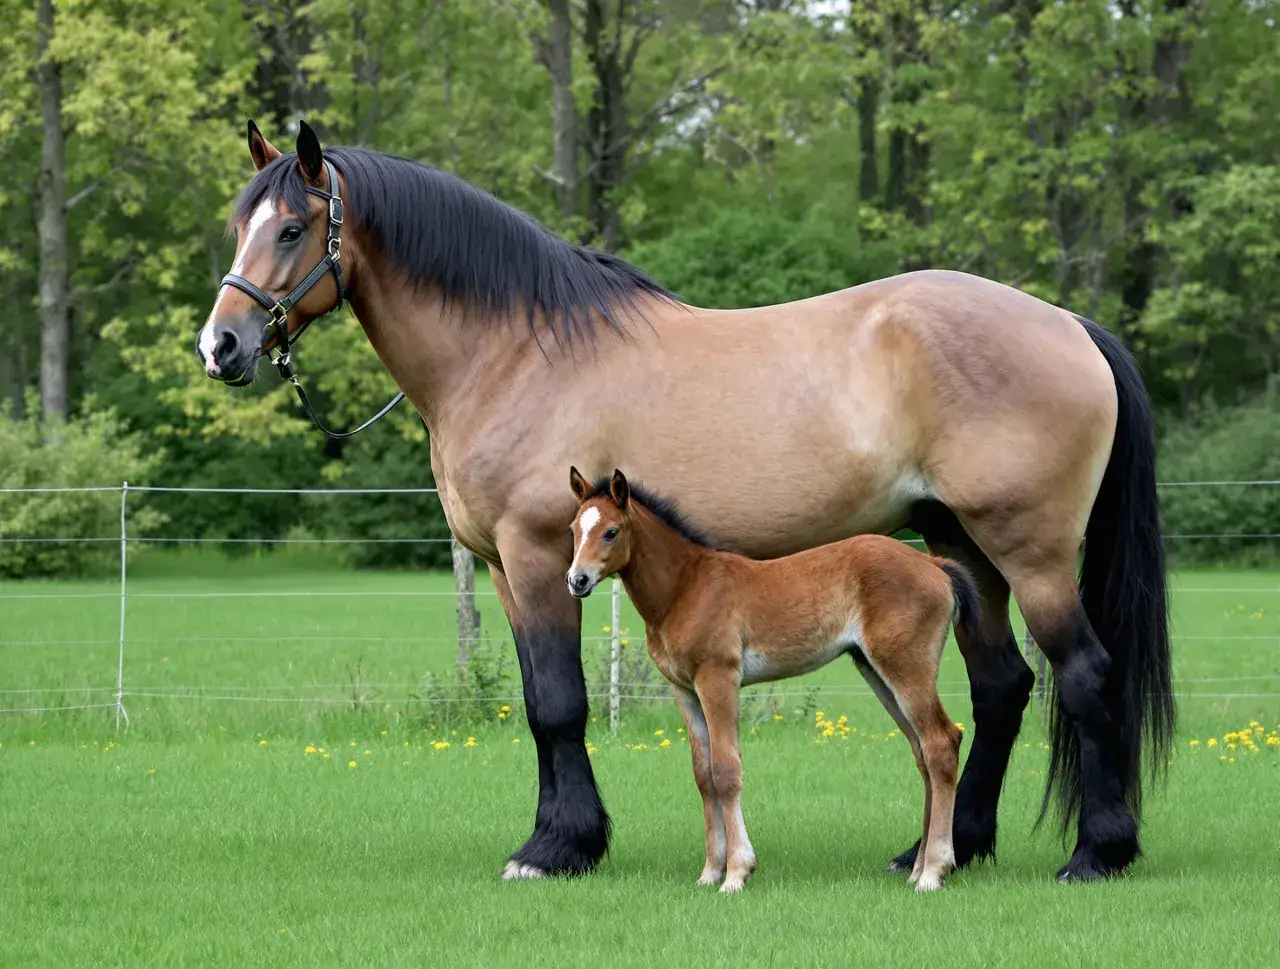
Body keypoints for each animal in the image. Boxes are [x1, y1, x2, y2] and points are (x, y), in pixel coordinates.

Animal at [566, 467, 976, 893]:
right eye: (573, 529)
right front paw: (709, 873)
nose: (576, 581)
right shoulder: (685, 691)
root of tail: (937, 566)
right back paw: (917, 869)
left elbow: (726, 770)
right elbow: (703, 774)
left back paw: (934, 872)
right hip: (877, 672)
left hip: (906, 667)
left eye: (611, 531)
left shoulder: (718, 678)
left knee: (941, 743)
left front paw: (736, 873)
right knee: (922, 754)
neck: (685, 588)